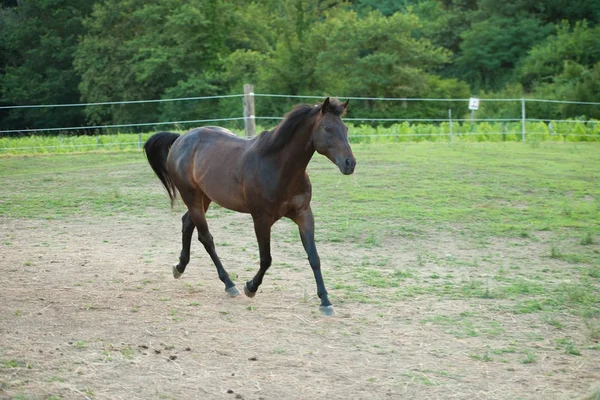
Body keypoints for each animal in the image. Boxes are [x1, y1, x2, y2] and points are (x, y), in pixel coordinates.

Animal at [142, 97, 354, 316]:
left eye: (345, 128)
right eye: (328, 128)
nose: (350, 163)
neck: (277, 166)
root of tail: (181, 139)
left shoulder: (303, 214)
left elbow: (314, 257)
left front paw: (325, 301)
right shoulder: (261, 219)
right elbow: (266, 259)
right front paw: (250, 287)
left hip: (205, 198)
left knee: (187, 224)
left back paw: (180, 267)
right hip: (192, 198)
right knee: (206, 238)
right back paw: (229, 284)